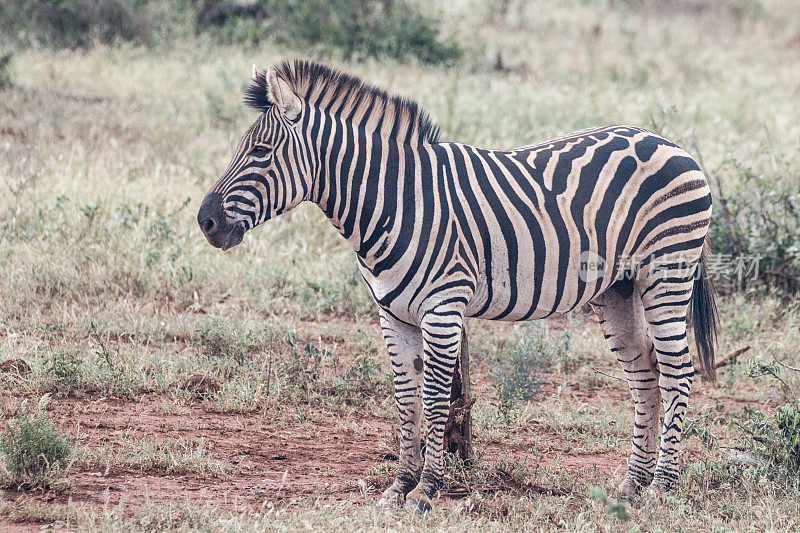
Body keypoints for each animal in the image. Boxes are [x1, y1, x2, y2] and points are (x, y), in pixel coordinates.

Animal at [198, 59, 720, 512]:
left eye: (260, 152)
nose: (205, 222)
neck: (395, 201)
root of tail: (671, 144)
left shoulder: (443, 309)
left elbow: (434, 400)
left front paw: (426, 491)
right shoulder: (393, 315)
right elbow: (405, 398)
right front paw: (399, 486)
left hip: (666, 273)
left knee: (677, 372)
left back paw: (662, 489)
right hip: (618, 289)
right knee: (645, 374)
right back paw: (633, 485)